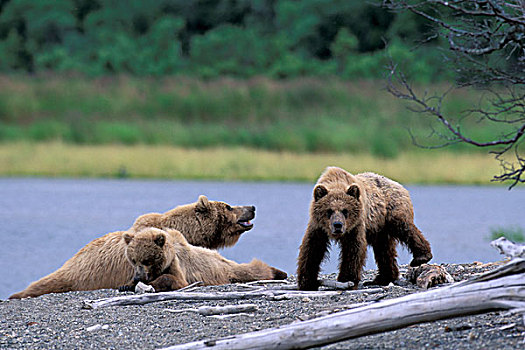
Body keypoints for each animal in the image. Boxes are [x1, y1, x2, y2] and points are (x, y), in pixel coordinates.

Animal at [296, 166, 432, 290]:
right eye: (329, 211)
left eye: (345, 211)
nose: (338, 225)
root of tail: (399, 185)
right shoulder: (318, 226)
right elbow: (312, 249)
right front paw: (307, 282)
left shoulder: (355, 225)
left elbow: (354, 249)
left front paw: (347, 280)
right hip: (379, 228)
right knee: (384, 249)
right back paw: (382, 278)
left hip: (391, 212)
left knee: (405, 229)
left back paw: (421, 257)